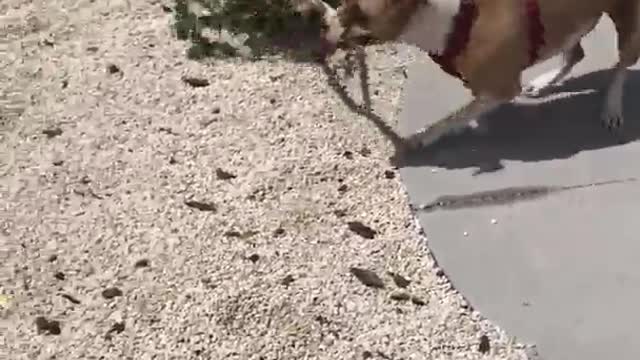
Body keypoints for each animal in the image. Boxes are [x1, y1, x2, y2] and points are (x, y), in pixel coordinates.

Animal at [298, 0, 640, 149]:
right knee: (575, 52)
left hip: (627, 20)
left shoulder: (501, 86)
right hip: (571, 22)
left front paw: (427, 136)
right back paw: (546, 82)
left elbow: (454, 116)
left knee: (623, 63)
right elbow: (469, 108)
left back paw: (611, 107)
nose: (323, 23)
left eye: (358, 13)